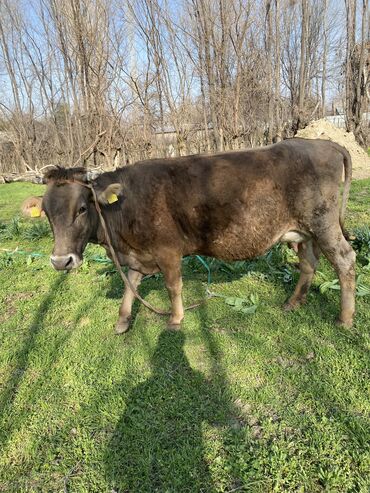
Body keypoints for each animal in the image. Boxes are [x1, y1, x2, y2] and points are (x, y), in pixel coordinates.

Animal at [23, 138, 356, 330]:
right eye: (47, 213)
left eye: (82, 208)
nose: (60, 261)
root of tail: (325, 143)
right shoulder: (138, 254)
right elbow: (131, 285)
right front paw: (122, 320)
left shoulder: (168, 250)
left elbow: (173, 286)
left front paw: (175, 319)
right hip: (303, 232)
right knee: (309, 263)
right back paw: (294, 302)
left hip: (324, 224)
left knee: (345, 260)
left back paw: (345, 318)